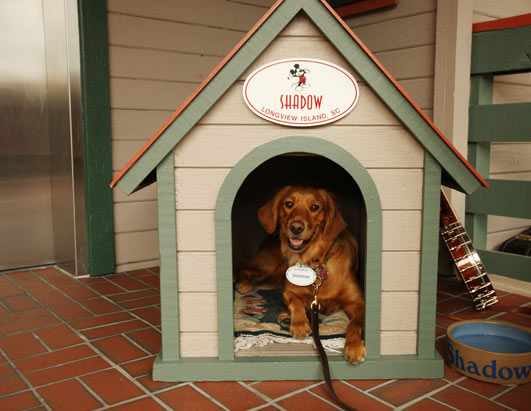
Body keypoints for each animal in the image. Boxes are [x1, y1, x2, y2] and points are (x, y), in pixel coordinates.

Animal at [237, 186, 366, 364]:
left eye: (314, 207)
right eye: (289, 204)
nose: (296, 227)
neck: (316, 263)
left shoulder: (358, 302)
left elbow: (354, 324)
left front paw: (354, 346)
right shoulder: (289, 291)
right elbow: (295, 302)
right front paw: (299, 323)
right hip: (270, 265)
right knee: (244, 266)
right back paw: (244, 283)